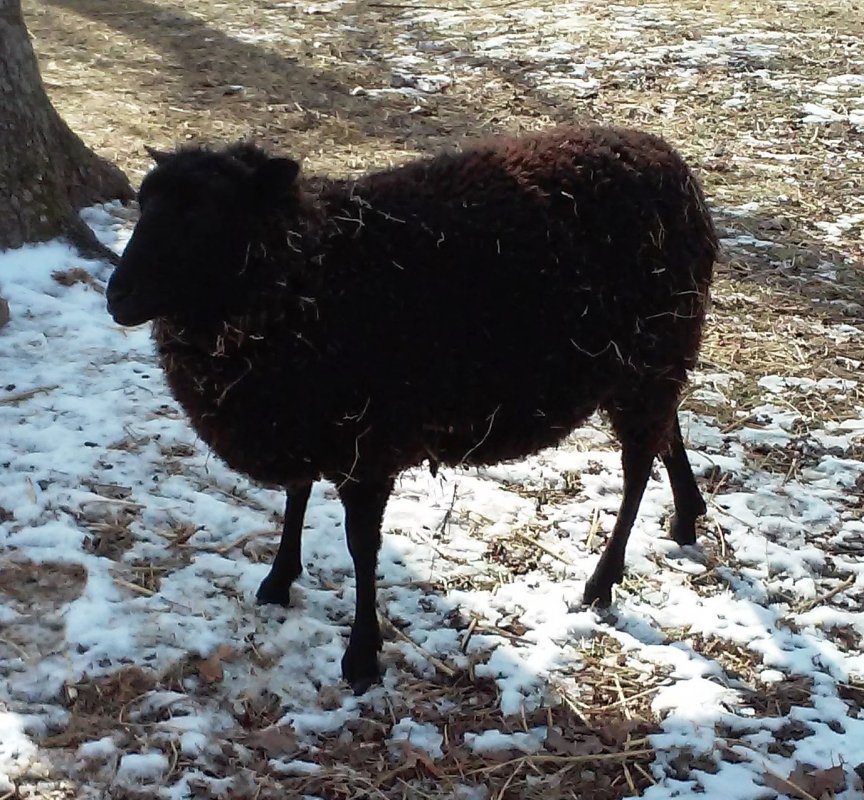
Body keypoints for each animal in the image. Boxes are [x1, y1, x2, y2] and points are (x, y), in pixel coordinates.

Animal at [106, 126, 716, 692]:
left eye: (207, 214)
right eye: (143, 202)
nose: (117, 296)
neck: (311, 275)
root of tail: (668, 159)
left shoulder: (368, 441)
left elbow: (361, 545)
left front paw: (361, 655)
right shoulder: (302, 414)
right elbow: (296, 497)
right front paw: (279, 580)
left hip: (651, 353)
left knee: (637, 467)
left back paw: (601, 581)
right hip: (654, 358)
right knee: (669, 428)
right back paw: (688, 514)